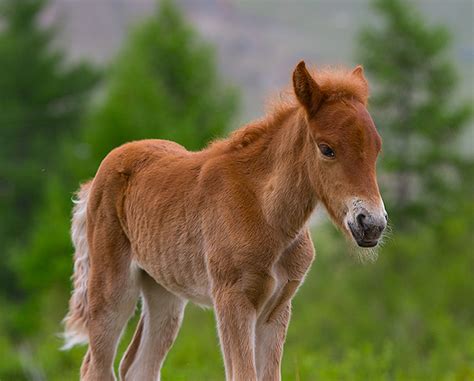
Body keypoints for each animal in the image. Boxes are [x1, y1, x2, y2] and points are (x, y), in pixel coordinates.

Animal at [63, 62, 386, 380]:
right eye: (326, 148)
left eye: (376, 148)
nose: (371, 223)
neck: (265, 212)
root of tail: (98, 175)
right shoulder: (233, 299)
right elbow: (242, 374)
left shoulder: (277, 307)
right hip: (112, 288)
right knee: (96, 366)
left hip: (163, 291)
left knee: (138, 366)